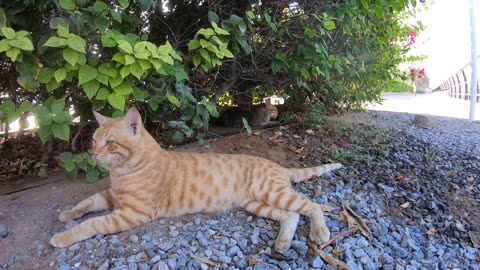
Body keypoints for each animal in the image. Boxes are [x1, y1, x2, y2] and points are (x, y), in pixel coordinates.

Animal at [50, 106, 340, 253]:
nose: (93, 153)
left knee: (311, 206)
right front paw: (67, 214)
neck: (121, 172)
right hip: (256, 203)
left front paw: (63, 237)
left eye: (109, 143)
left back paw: (319, 231)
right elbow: (88, 203)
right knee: (291, 215)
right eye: (94, 140)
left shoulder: (131, 213)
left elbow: (93, 223)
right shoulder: (111, 196)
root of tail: (276, 164)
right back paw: (282, 241)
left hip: (270, 191)